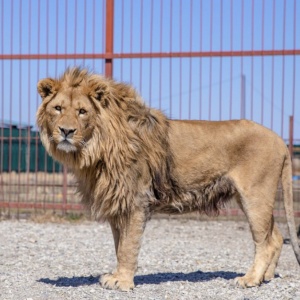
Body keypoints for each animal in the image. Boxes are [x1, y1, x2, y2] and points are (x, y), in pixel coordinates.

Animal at [37, 67, 300, 290]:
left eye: (82, 112)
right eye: (58, 108)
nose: (66, 131)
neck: (96, 148)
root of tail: (279, 138)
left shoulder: (136, 201)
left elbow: (128, 246)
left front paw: (123, 282)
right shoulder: (118, 203)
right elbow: (119, 245)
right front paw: (115, 276)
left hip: (255, 195)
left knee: (264, 242)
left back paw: (250, 279)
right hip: (254, 199)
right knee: (276, 237)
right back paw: (265, 277)